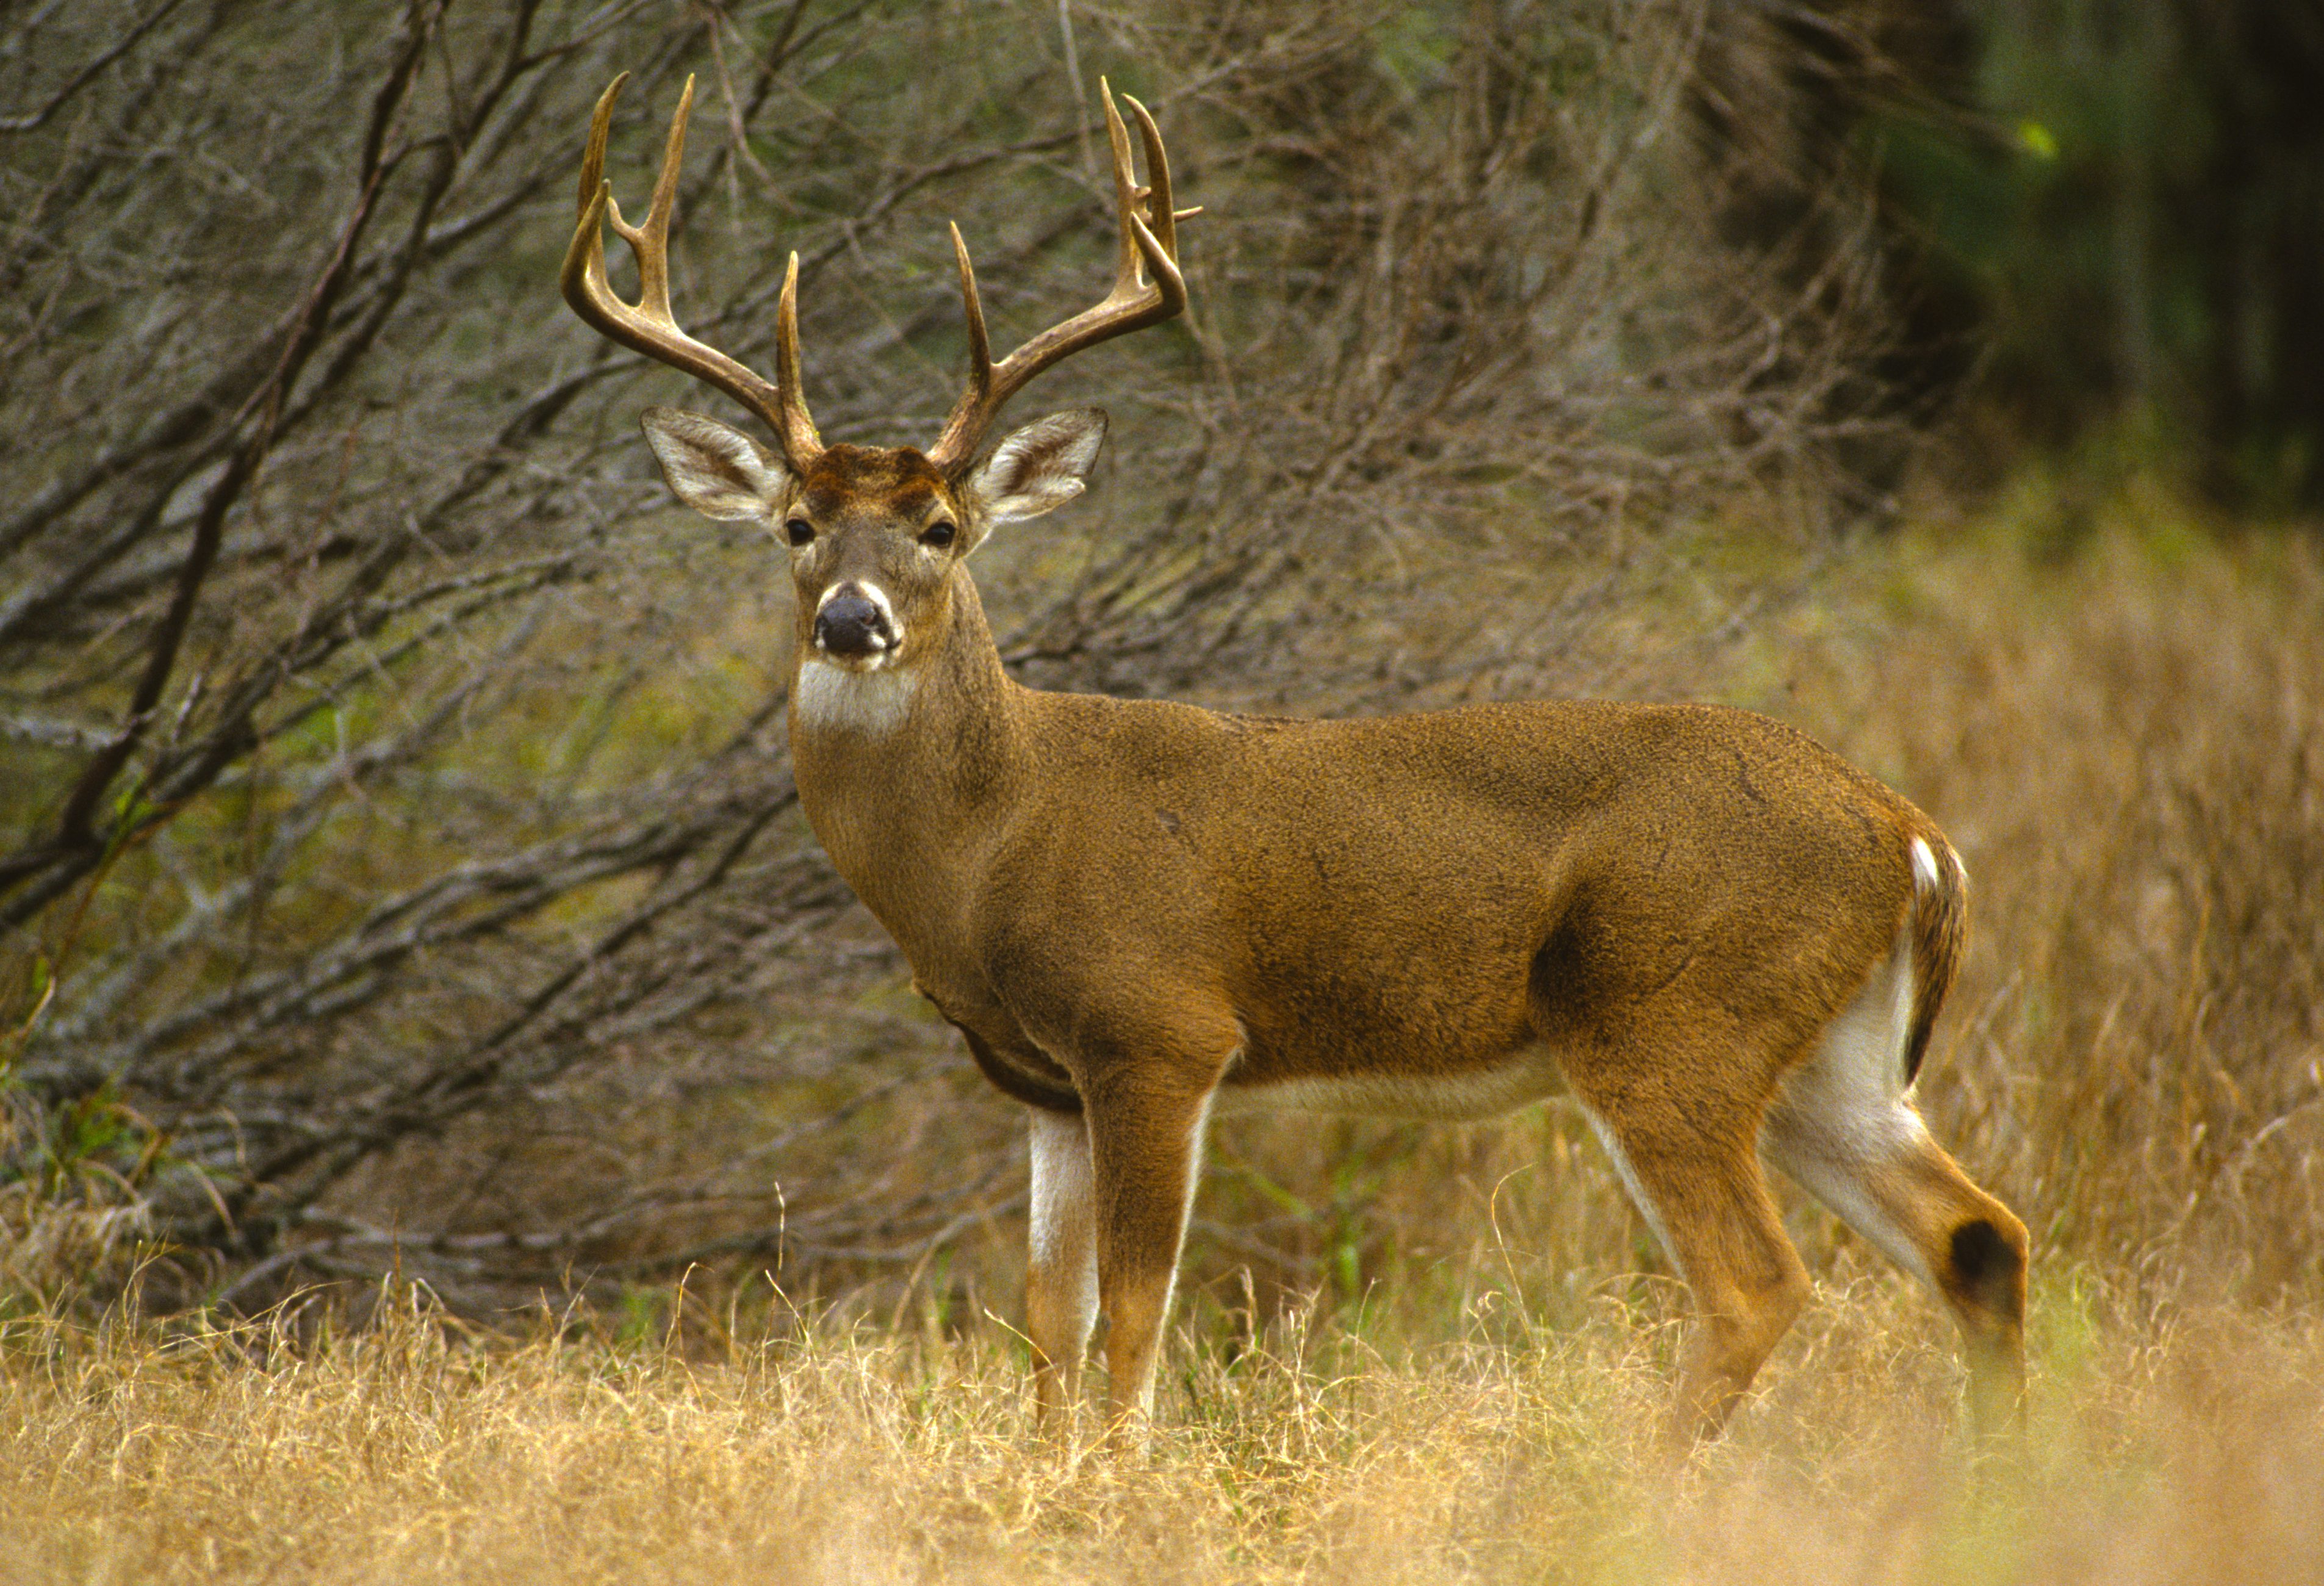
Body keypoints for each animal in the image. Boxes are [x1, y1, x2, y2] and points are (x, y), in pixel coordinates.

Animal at [561, 71, 2028, 1452]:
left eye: (938, 527)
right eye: (797, 524)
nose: (848, 620)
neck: (994, 838)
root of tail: (1909, 832)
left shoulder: (1159, 1029)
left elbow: (1135, 1310)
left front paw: (1119, 1486)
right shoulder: (1039, 1081)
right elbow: (1047, 1314)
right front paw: (1048, 1480)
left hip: (1668, 1014)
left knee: (1756, 1281)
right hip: (1825, 1050)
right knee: (1975, 1236)